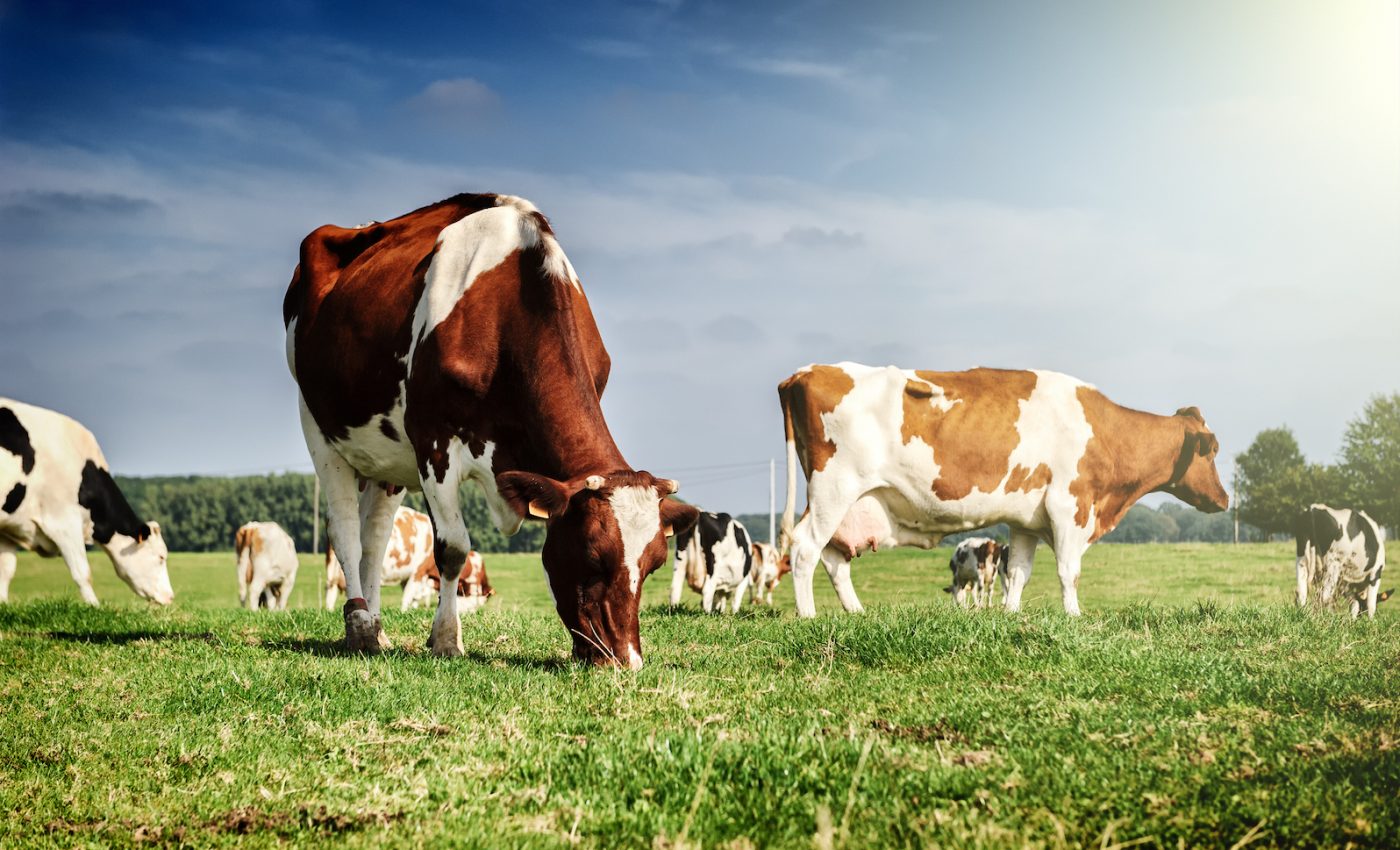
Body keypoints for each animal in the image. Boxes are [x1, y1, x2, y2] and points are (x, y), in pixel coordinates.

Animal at [0, 398, 172, 605]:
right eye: (161, 557)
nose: (171, 596)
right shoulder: (63, 522)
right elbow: (83, 573)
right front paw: (94, 606)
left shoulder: (9, 528)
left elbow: (6, 571)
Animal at [284, 193, 698, 666]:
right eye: (592, 555)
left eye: (655, 563)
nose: (626, 661)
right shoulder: (434, 441)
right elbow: (452, 547)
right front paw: (447, 639)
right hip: (318, 425)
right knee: (346, 531)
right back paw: (359, 627)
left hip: (387, 456)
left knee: (375, 537)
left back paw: (378, 628)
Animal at [778, 363, 1229, 618]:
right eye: (1213, 450)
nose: (1225, 498)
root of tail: (806, 371)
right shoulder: (1070, 505)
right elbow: (1069, 571)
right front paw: (1075, 617)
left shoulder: (1027, 519)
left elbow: (1019, 573)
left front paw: (1011, 616)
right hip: (833, 489)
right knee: (805, 548)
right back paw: (808, 617)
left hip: (849, 502)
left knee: (834, 558)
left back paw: (857, 613)